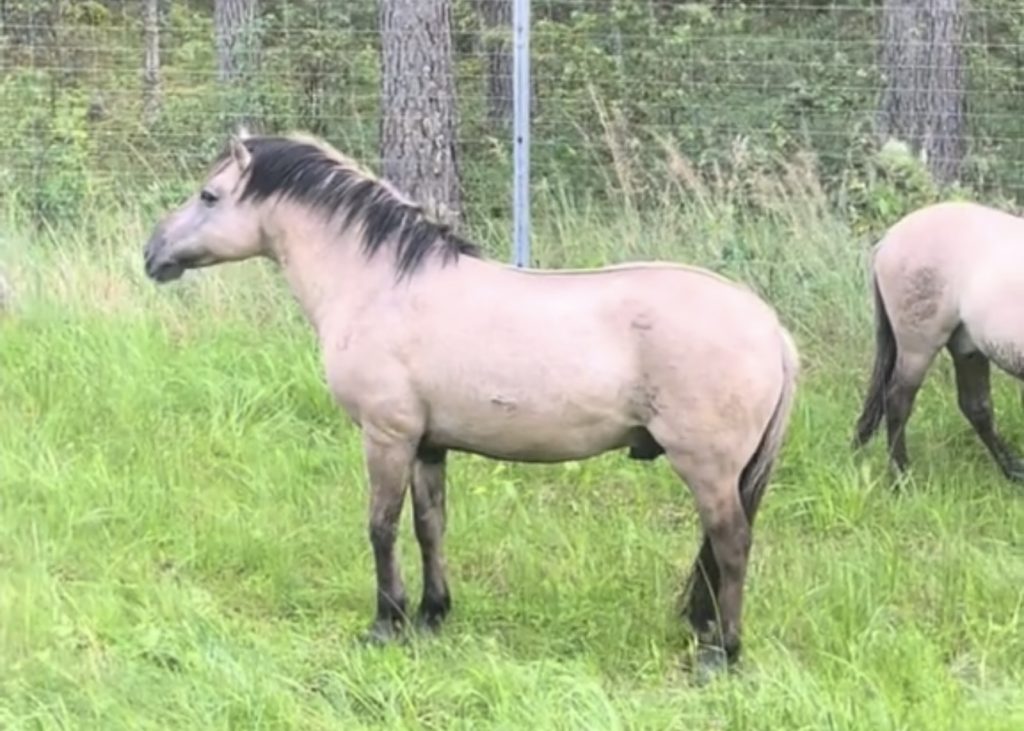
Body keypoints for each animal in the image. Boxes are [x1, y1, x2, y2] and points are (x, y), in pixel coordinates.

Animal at [142, 131, 799, 679]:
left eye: (208, 195)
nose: (152, 253)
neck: (379, 285)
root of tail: (771, 328)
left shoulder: (386, 436)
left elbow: (381, 526)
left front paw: (386, 624)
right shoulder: (428, 445)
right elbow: (430, 526)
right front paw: (433, 614)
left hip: (708, 467)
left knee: (731, 544)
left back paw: (721, 654)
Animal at [854, 200, 1024, 482]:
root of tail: (887, 242)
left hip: (966, 346)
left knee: (976, 406)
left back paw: (1014, 471)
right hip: (918, 347)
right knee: (898, 401)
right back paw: (902, 476)